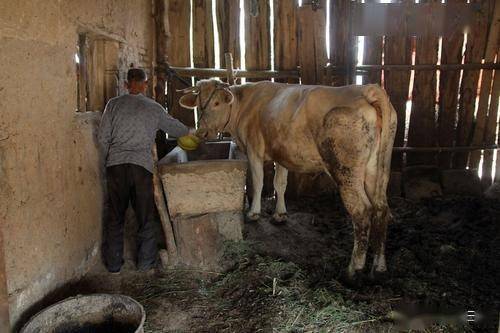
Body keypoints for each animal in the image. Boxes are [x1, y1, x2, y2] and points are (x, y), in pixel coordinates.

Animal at [178, 79, 396, 282]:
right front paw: (280, 214)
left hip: (346, 171)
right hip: (378, 170)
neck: (245, 105)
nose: (202, 132)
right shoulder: (281, 154)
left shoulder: (254, 149)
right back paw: (379, 266)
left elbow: (258, 181)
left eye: (216, 103)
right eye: (199, 104)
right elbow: (280, 184)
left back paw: (353, 269)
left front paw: (253, 213)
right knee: (381, 209)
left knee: (361, 212)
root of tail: (367, 89)